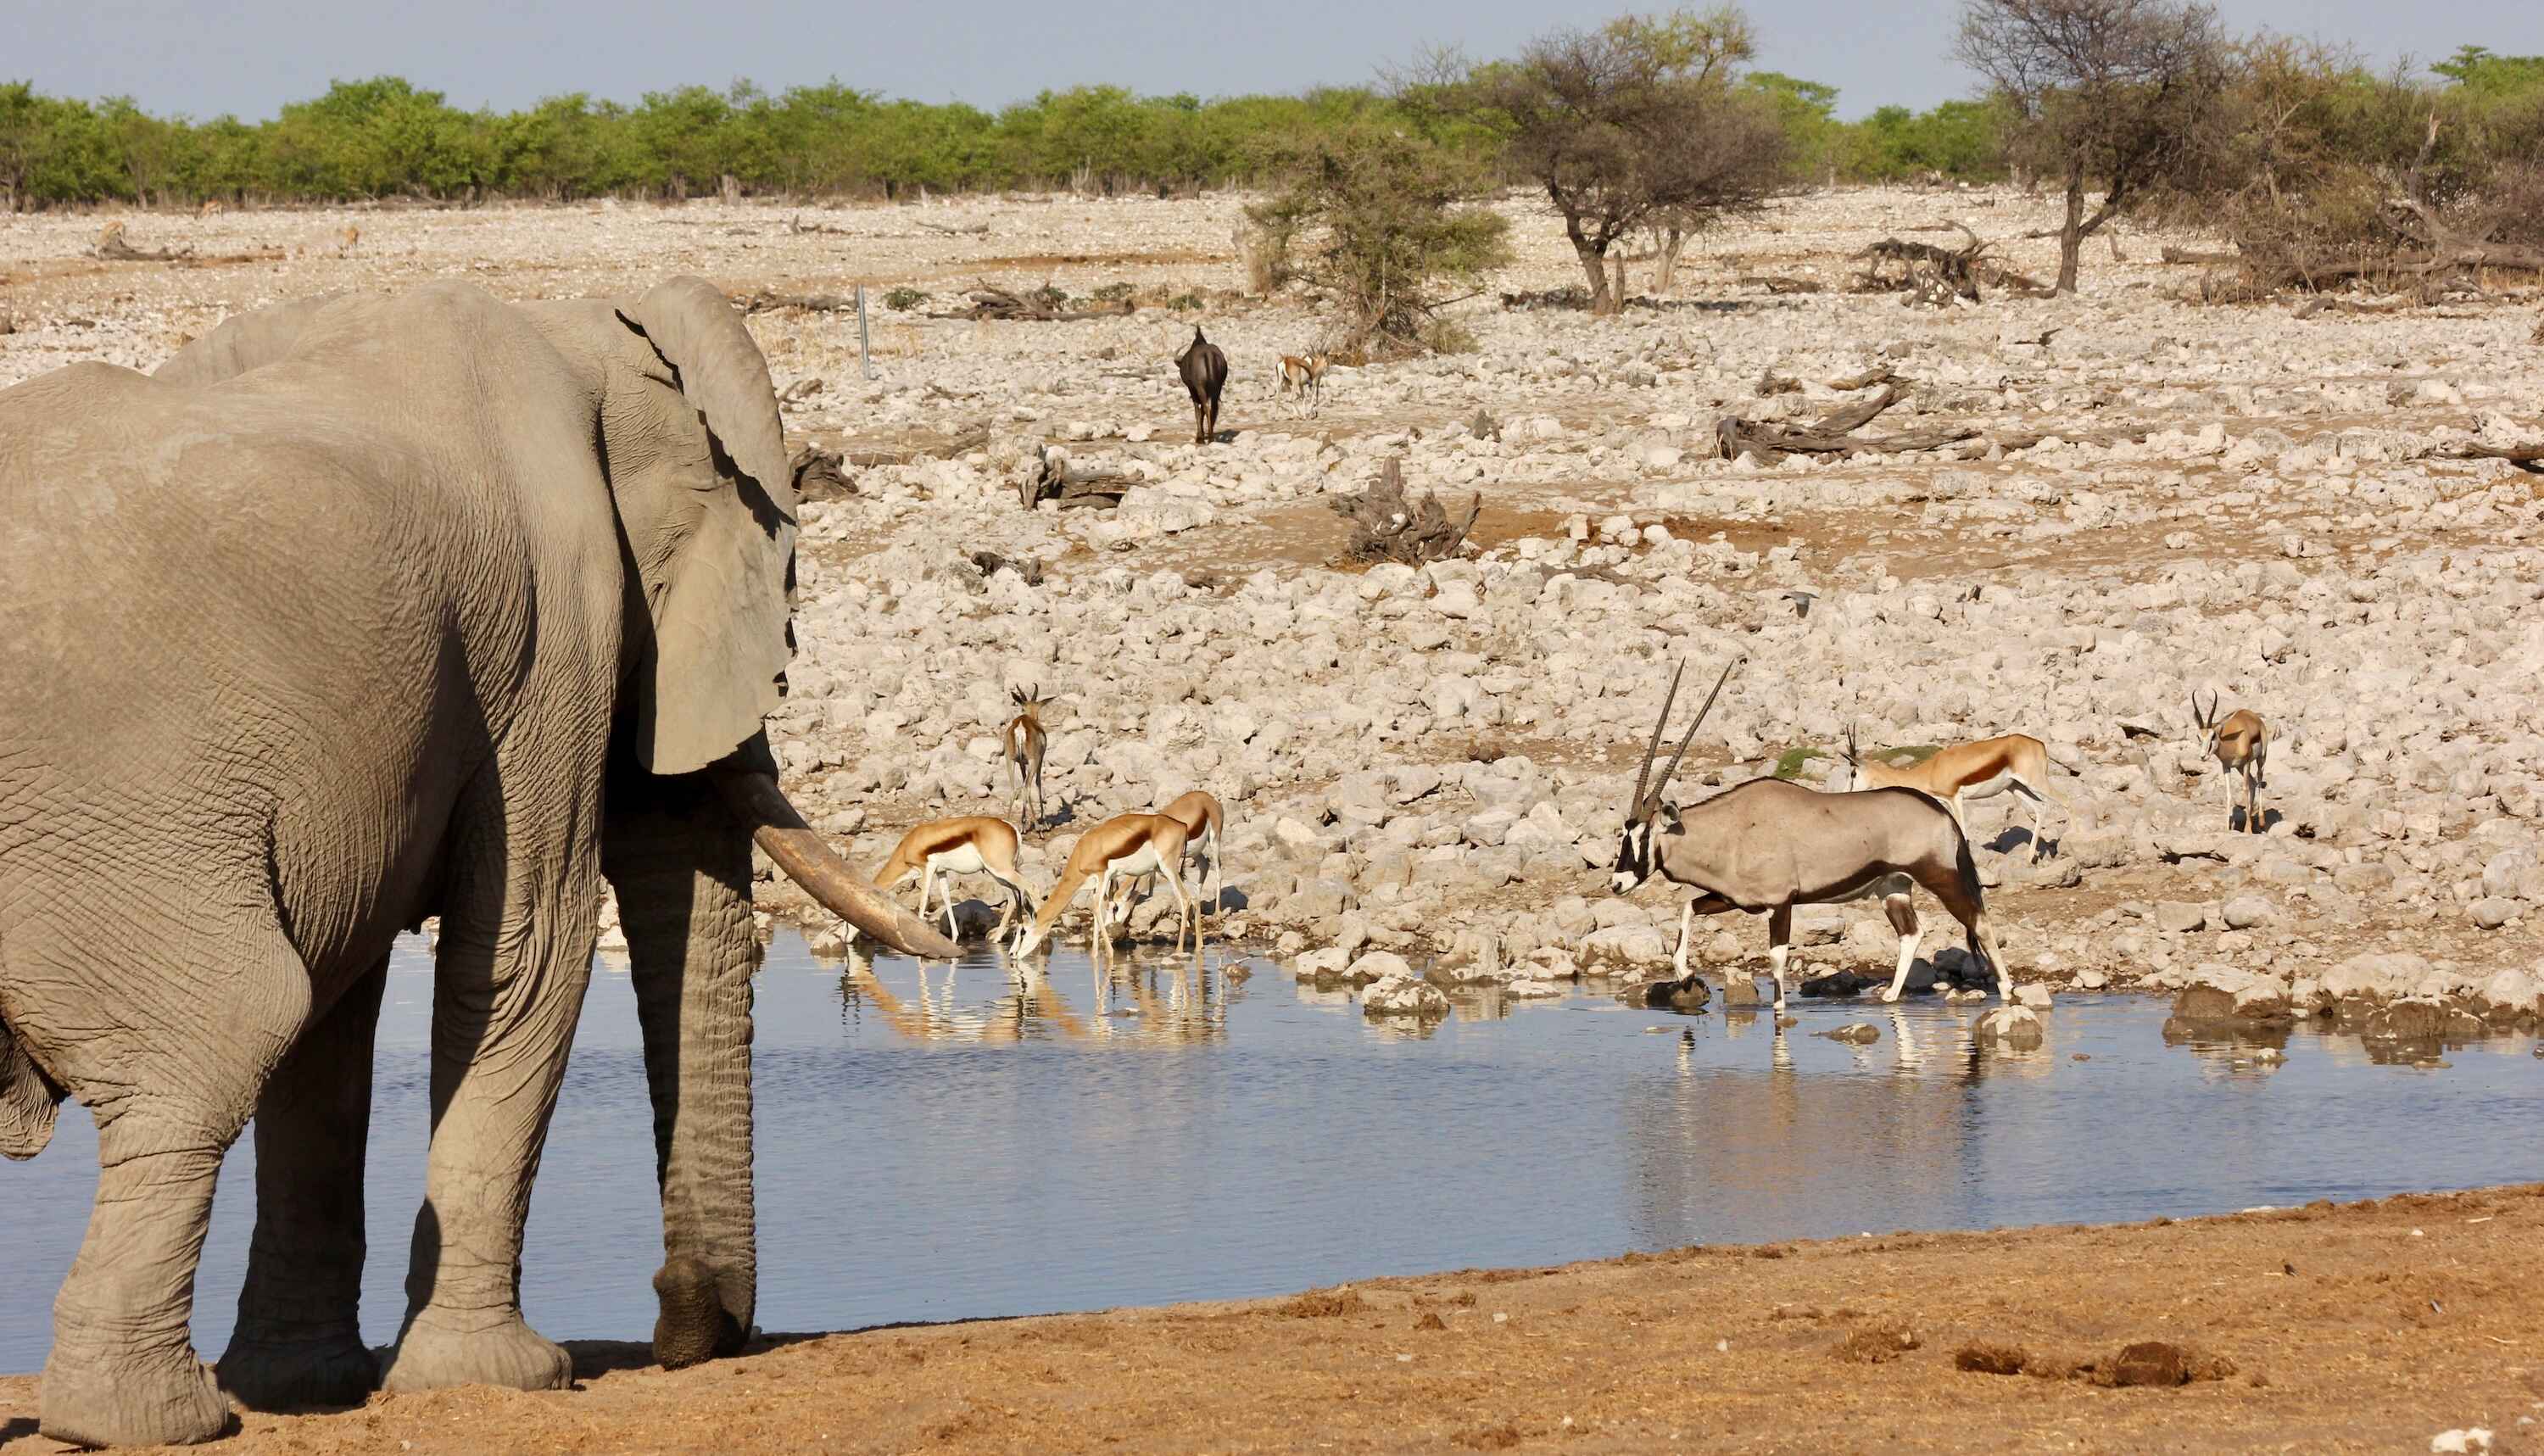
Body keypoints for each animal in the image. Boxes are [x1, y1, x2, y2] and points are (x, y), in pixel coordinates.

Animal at [0, 276, 958, 1447]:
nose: (682, 1324)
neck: (583, 328)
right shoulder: (556, 625)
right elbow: (523, 956)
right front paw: (507, 1377)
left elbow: (339, 1020)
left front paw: (305, 1386)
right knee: (219, 1036)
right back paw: (148, 1419)